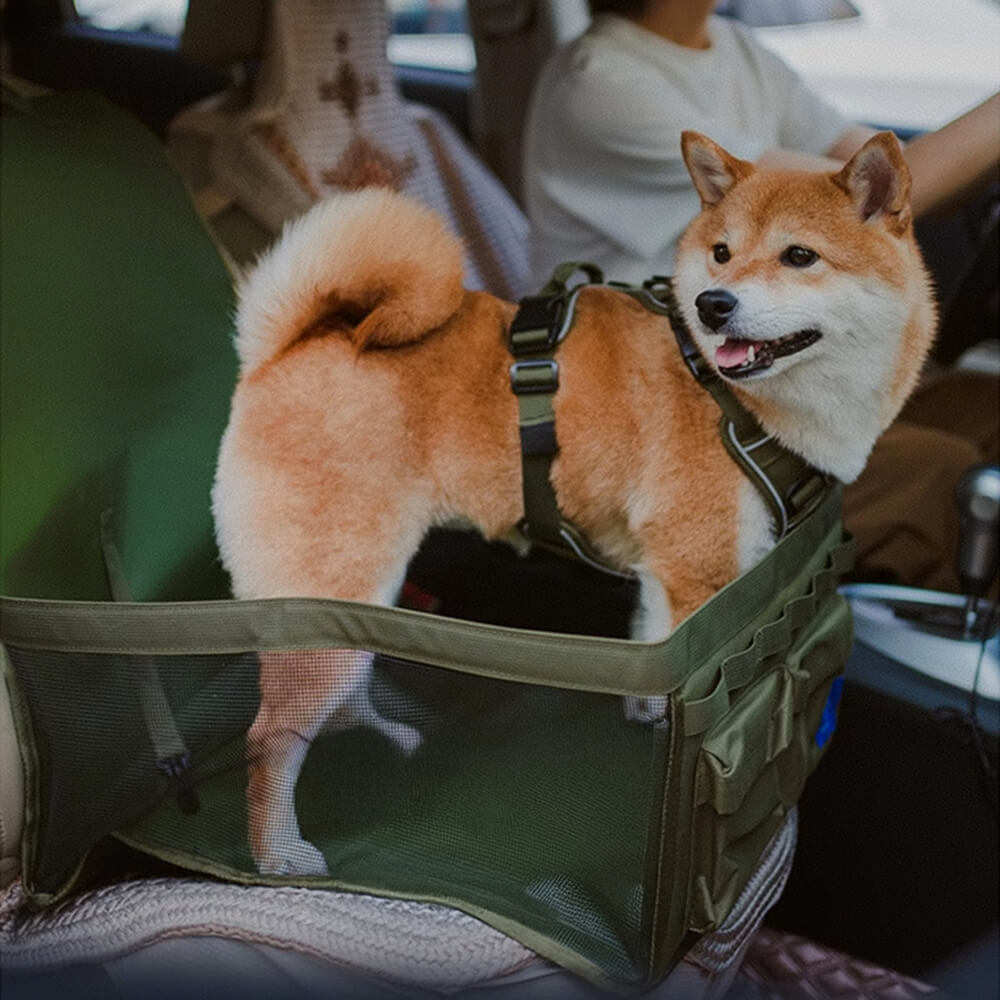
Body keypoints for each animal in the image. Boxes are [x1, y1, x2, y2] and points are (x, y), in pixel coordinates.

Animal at [213, 129, 936, 872]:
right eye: (722, 253)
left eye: (799, 256)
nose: (713, 304)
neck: (734, 396)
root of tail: (287, 346)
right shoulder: (700, 571)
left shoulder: (663, 572)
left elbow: (652, 644)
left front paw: (647, 718)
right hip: (332, 592)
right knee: (271, 739)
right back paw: (278, 854)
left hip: (354, 603)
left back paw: (385, 733)